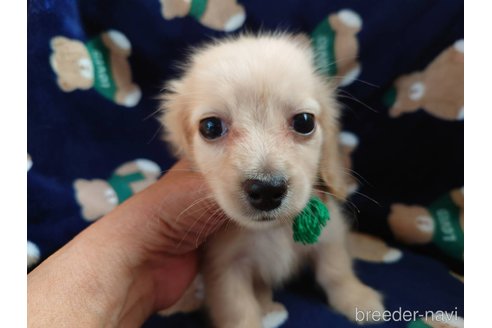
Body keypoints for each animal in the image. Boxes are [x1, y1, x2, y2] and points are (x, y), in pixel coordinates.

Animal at [160, 34, 384, 326]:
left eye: (304, 122)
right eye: (210, 127)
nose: (266, 190)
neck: (273, 230)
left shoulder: (330, 235)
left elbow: (336, 270)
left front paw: (359, 299)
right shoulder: (225, 268)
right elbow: (239, 311)